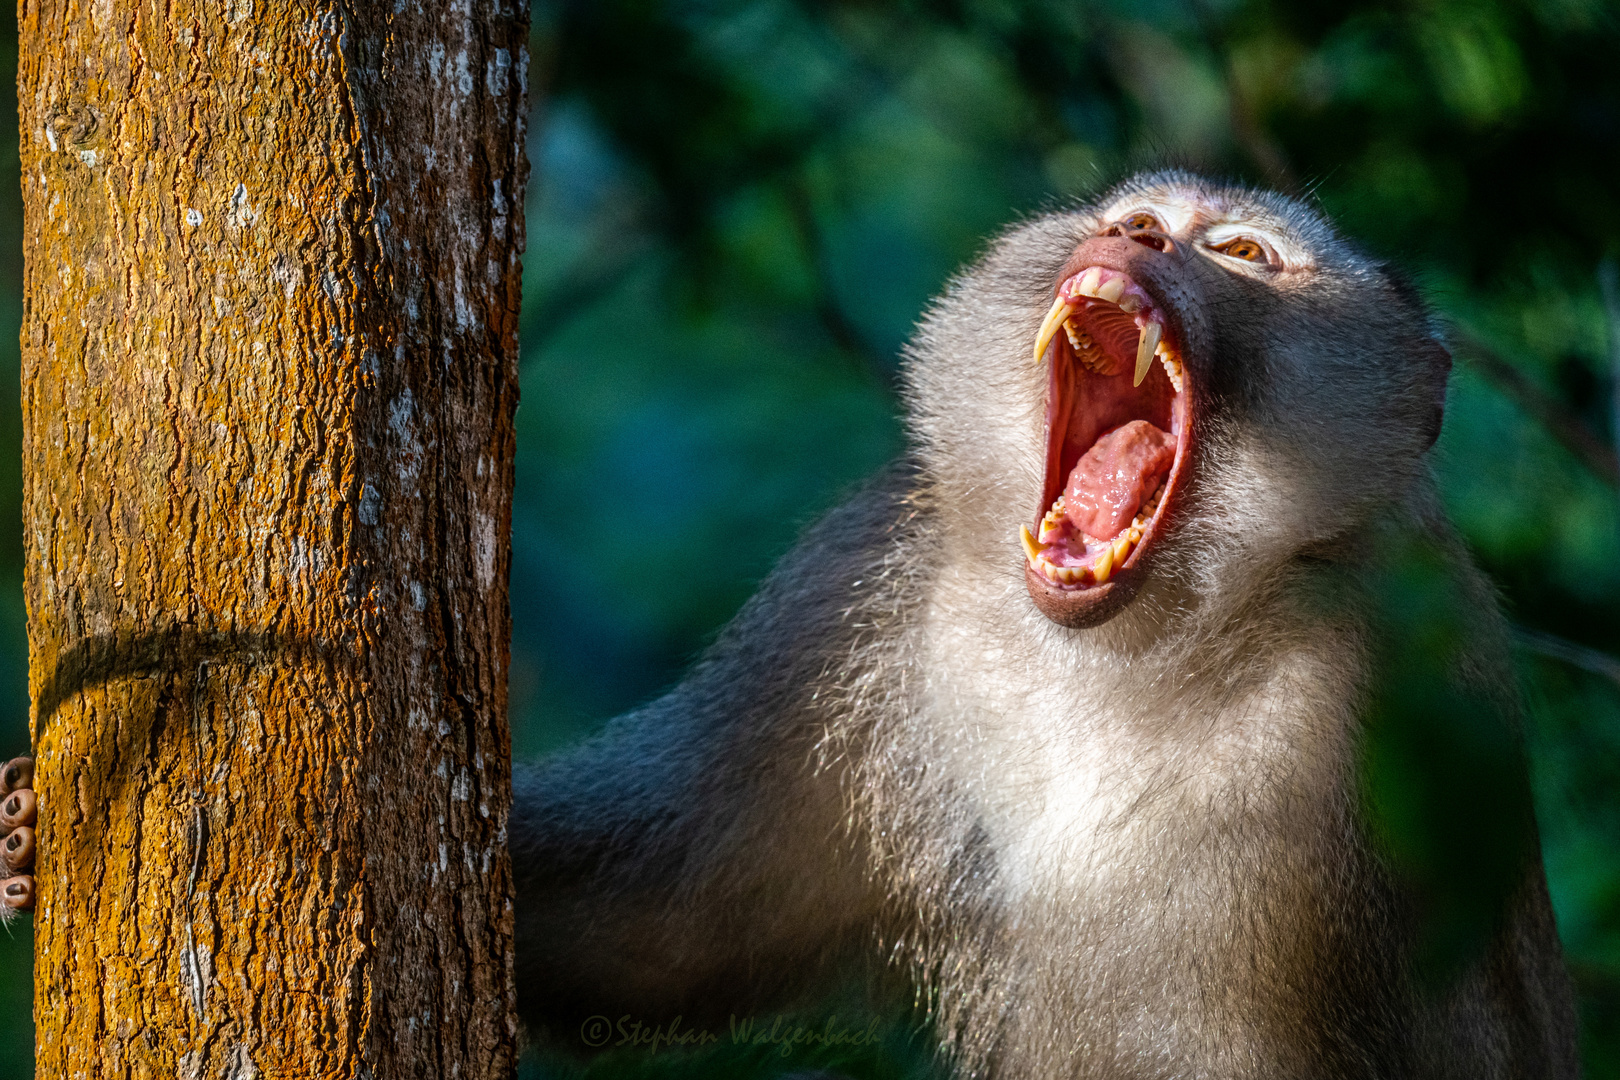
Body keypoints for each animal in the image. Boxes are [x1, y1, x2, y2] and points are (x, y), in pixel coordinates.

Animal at [0, 173, 1574, 1075]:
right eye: (1137, 223)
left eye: (1243, 253)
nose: (1139, 255)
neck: (1130, 651)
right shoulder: (867, 590)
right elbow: (671, 920)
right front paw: (21, 833)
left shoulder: (1351, 739)